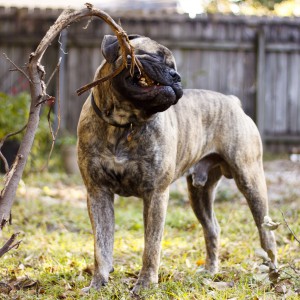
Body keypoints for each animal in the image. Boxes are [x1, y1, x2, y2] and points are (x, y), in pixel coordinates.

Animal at [77, 34, 276, 292]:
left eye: (173, 66)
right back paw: (210, 272)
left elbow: (151, 246)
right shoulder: (98, 192)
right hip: (199, 194)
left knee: (266, 231)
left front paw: (145, 285)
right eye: (153, 56)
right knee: (212, 228)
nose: (176, 76)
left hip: (250, 180)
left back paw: (273, 273)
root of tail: (233, 102)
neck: (123, 125)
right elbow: (101, 245)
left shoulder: (156, 194)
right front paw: (98, 283)